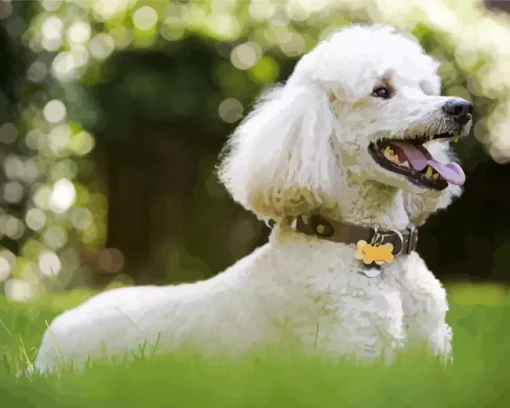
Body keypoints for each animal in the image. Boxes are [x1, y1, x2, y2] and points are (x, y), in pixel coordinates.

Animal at [32, 23, 470, 372]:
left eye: (423, 88)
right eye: (382, 90)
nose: (463, 108)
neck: (368, 246)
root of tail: (46, 344)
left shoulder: (435, 357)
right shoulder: (355, 359)